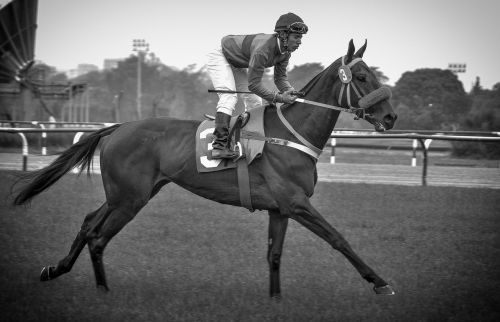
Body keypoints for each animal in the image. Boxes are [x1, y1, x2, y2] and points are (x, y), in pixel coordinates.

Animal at [12, 40, 398, 300]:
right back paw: (103, 291)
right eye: (361, 76)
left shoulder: (281, 208)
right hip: (129, 199)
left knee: (88, 222)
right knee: (98, 236)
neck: (290, 134)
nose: (391, 116)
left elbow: (274, 254)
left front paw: (275, 299)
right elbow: (338, 238)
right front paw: (380, 281)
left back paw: (56, 269)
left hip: (127, 193)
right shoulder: (297, 202)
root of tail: (118, 127)